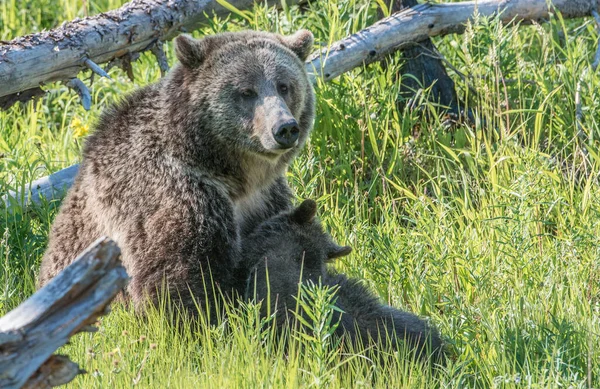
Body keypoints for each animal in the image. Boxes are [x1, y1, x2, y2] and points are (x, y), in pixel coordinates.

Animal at [38, 29, 314, 316]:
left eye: (284, 86)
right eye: (247, 91)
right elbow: (177, 282)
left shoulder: (265, 198)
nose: (284, 128)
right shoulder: (175, 195)